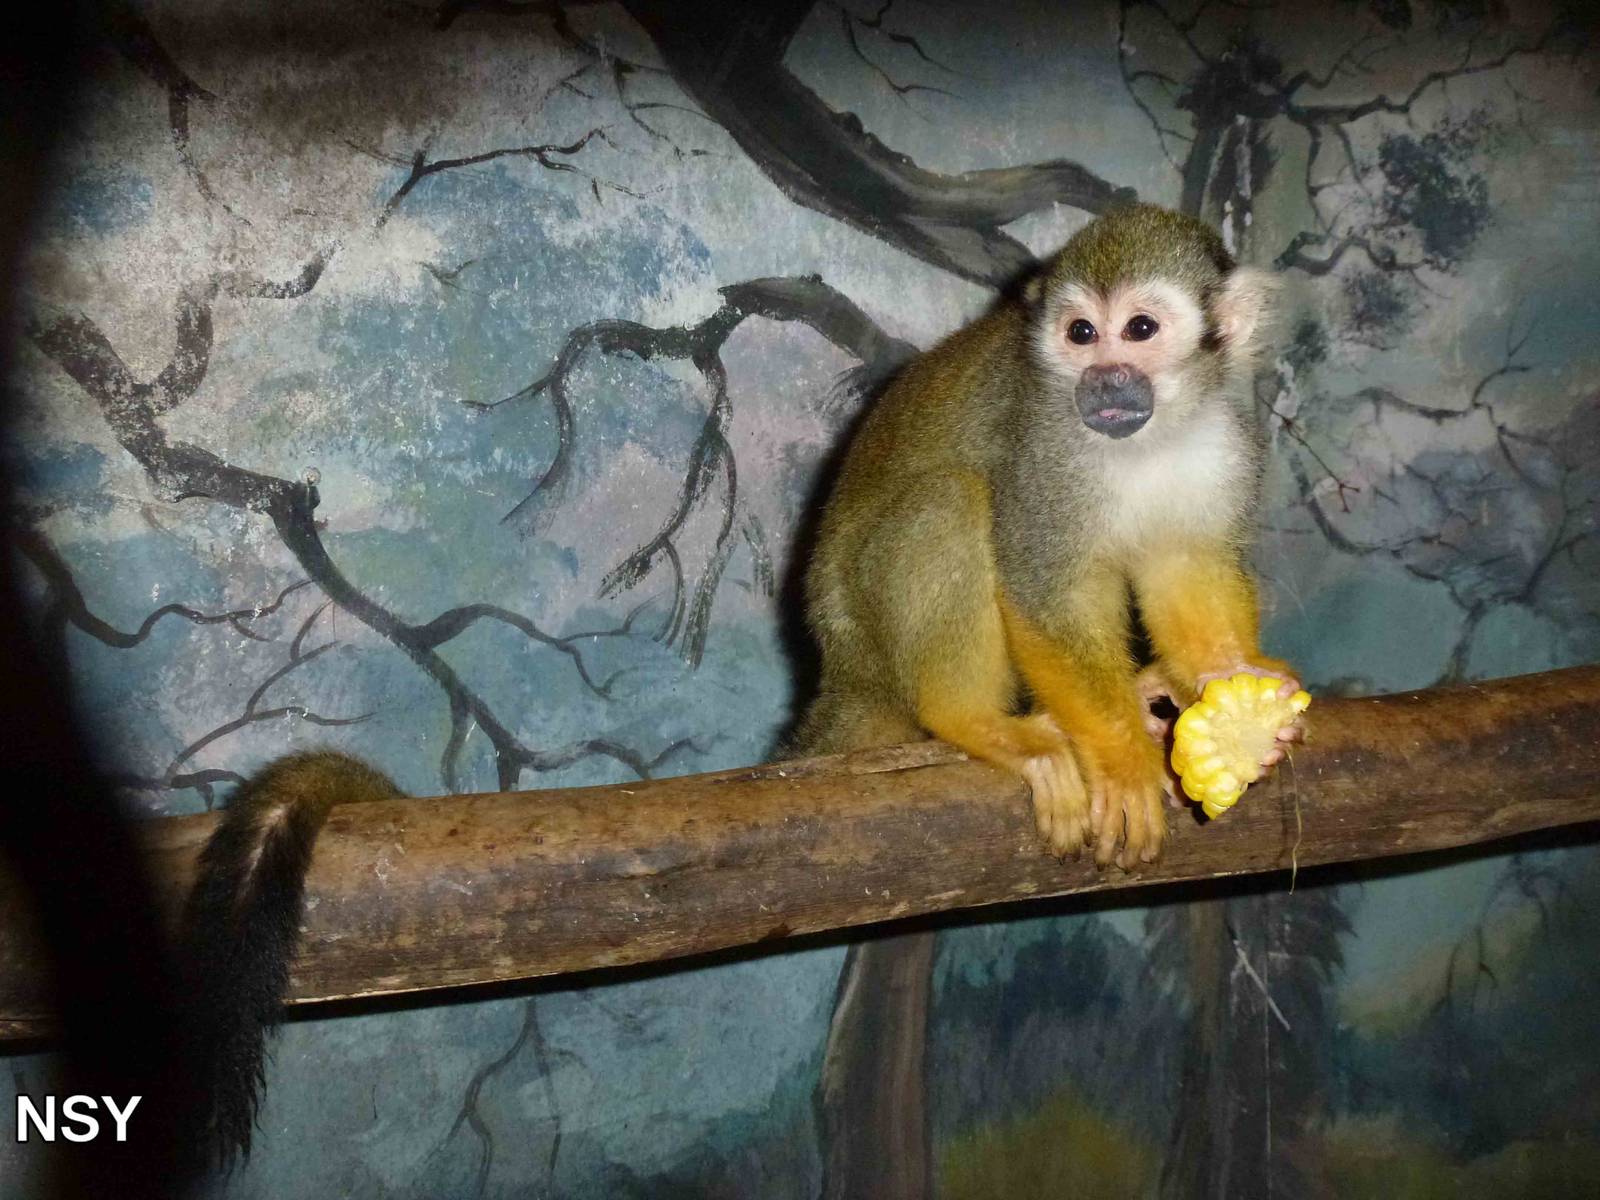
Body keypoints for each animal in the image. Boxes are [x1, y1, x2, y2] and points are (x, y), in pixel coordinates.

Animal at [794, 203, 1301, 869]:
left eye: (1140, 329)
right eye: (1081, 333)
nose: (1105, 380)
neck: (1148, 438)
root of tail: (843, 671)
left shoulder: (1224, 443)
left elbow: (1188, 563)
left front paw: (1229, 683)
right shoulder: (1043, 452)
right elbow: (1046, 594)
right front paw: (1125, 764)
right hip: (864, 626)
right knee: (951, 500)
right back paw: (974, 721)